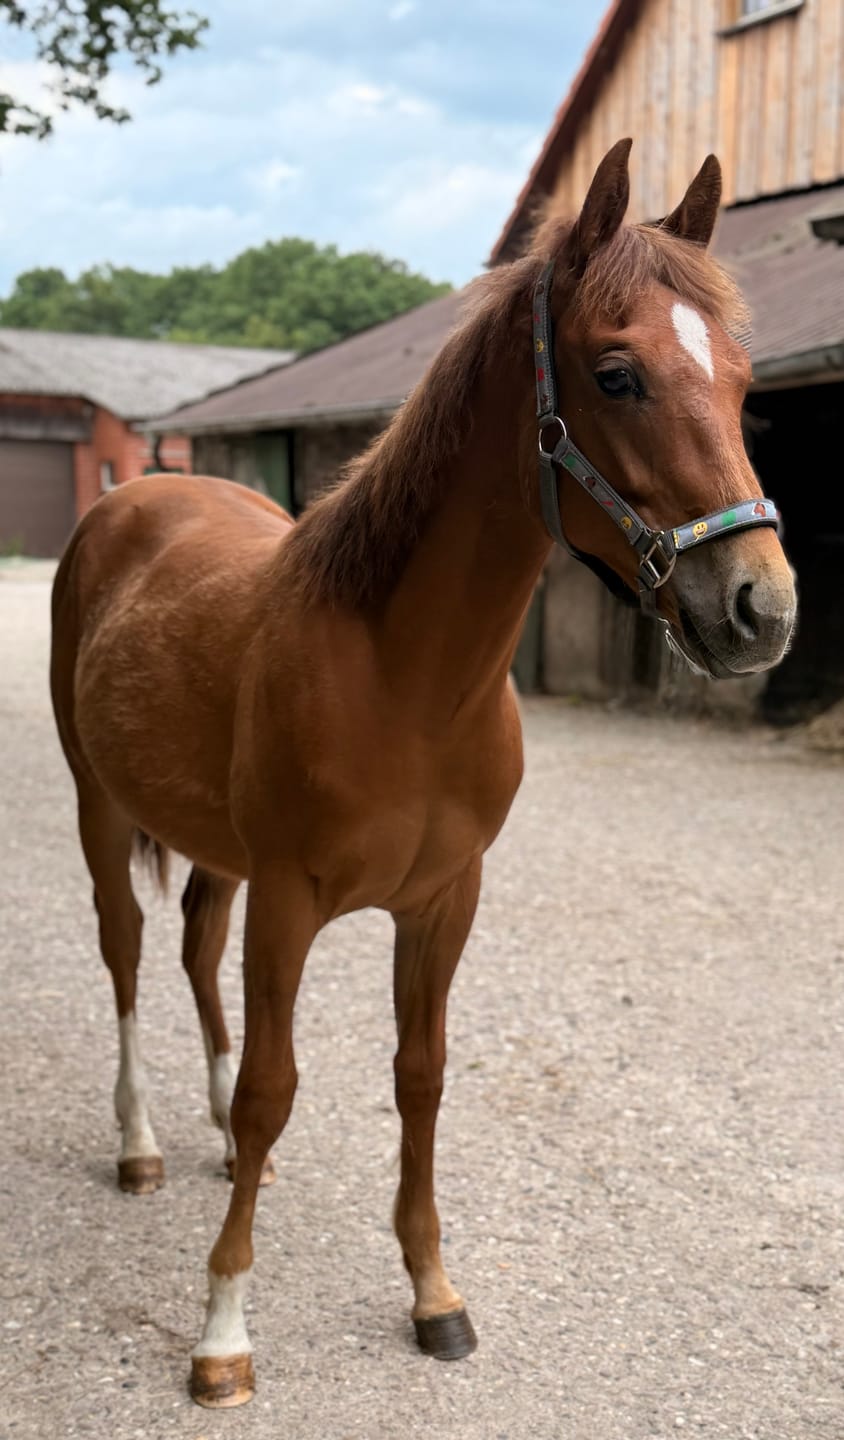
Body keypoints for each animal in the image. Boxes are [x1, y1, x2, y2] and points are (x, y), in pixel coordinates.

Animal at [49, 139, 796, 1409]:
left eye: (745, 381)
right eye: (616, 375)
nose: (760, 609)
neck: (403, 680)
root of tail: (137, 491)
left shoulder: (444, 903)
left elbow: (420, 1078)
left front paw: (434, 1296)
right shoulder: (291, 904)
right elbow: (277, 1089)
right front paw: (222, 1333)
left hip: (212, 847)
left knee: (193, 946)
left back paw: (208, 1135)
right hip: (102, 812)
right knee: (129, 958)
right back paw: (142, 1144)